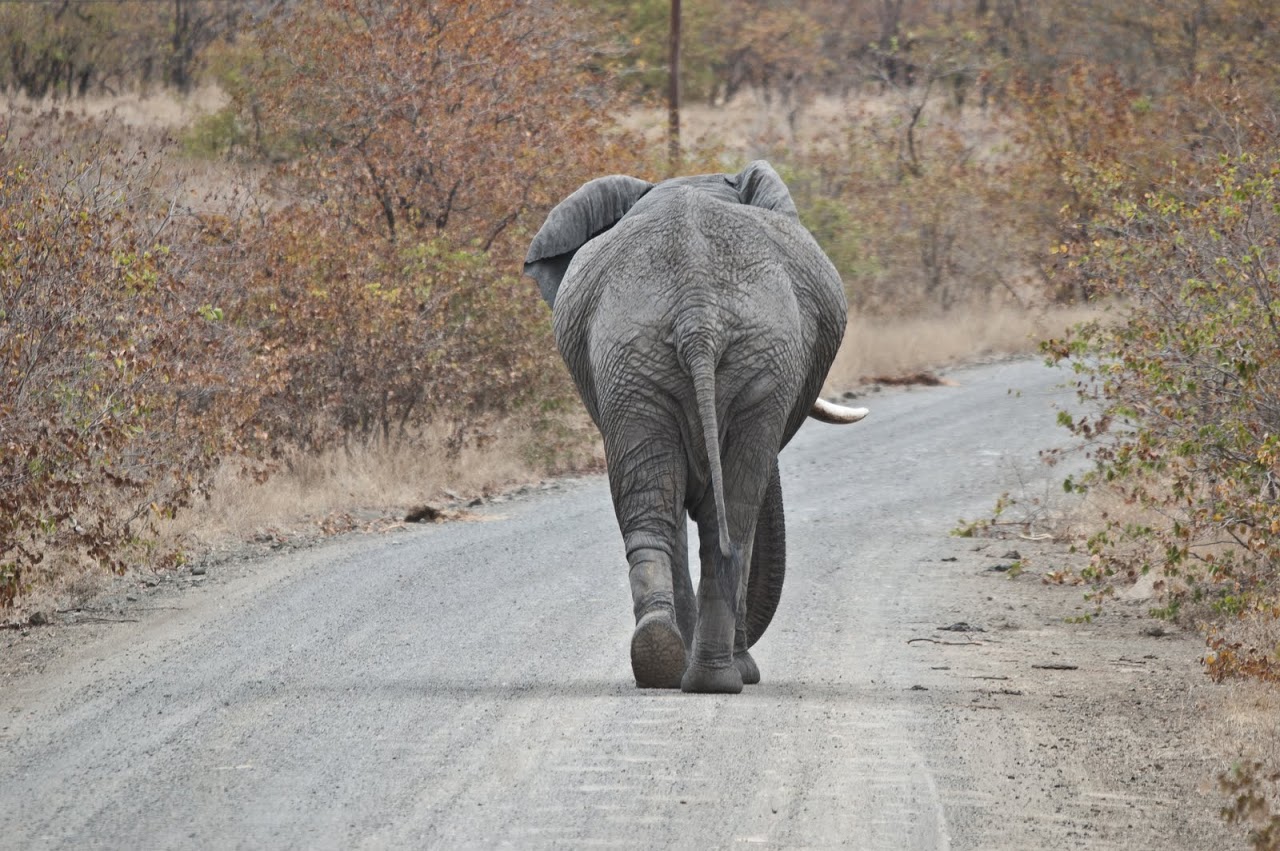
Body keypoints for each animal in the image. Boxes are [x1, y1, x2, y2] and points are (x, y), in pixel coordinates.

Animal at [522, 162, 870, 696]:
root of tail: (697, 312)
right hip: (742, 360)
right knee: (731, 517)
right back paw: (721, 677)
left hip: (639, 359)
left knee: (656, 508)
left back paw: (663, 662)